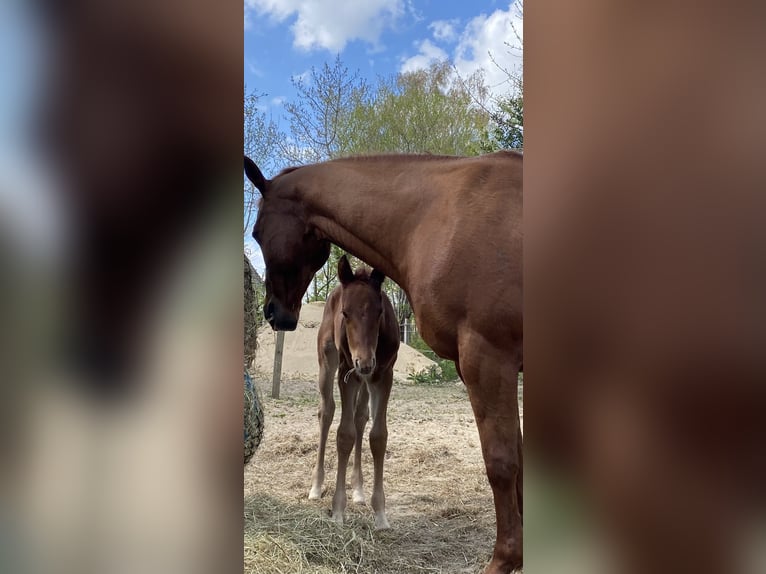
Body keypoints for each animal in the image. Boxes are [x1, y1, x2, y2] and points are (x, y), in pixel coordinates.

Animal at [308, 255, 400, 530]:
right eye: (345, 313)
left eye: (379, 312)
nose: (364, 362)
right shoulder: (346, 373)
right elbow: (344, 434)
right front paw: (338, 510)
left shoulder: (383, 376)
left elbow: (378, 436)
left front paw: (380, 513)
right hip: (329, 362)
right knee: (326, 411)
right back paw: (316, 486)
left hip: (364, 381)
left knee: (360, 417)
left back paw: (358, 489)